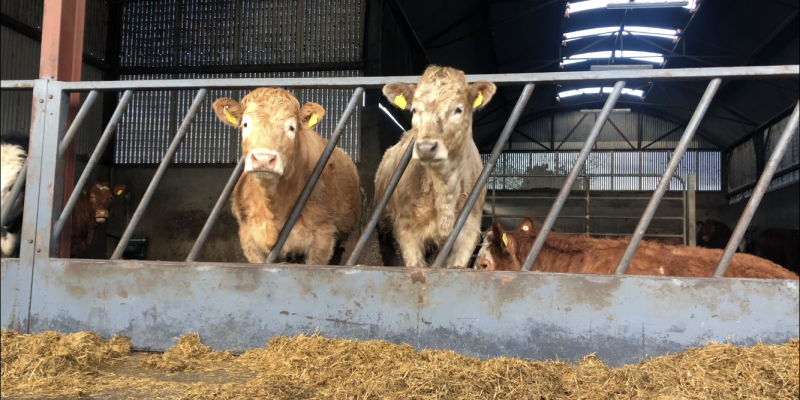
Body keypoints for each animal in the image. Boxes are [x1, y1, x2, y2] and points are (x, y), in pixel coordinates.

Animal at [375, 66, 496, 268]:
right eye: (414, 109)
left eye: (458, 109)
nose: (425, 146)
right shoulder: (406, 228)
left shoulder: (469, 230)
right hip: (384, 226)